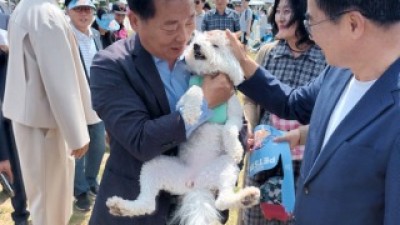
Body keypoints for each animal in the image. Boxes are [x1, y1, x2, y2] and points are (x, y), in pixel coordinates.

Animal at [106, 30, 260, 225]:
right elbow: (195, 90)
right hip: (154, 167)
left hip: (227, 168)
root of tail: (196, 184)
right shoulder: (183, 98)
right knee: (147, 204)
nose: (196, 46)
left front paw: (235, 149)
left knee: (222, 200)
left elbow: (230, 129)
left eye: (215, 45)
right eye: (196, 41)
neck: (207, 75)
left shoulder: (235, 115)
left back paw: (246, 197)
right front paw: (193, 112)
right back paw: (119, 206)